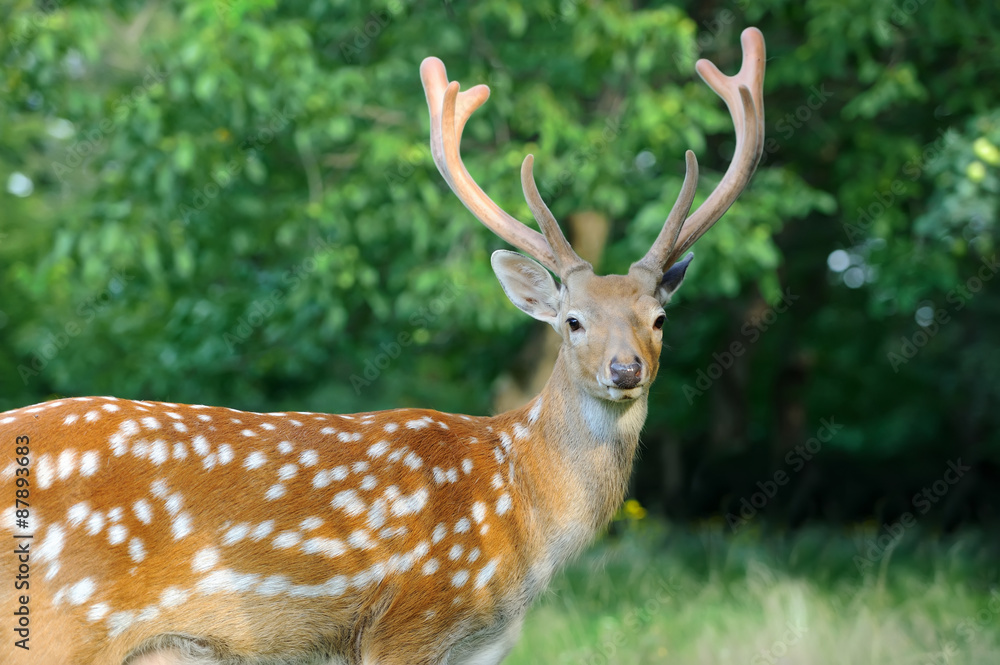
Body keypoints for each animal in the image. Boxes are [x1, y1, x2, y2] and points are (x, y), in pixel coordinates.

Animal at [0, 27, 764, 664]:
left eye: (658, 317)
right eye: (572, 320)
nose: (625, 368)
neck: (522, 514)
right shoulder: (411, 621)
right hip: (59, 624)